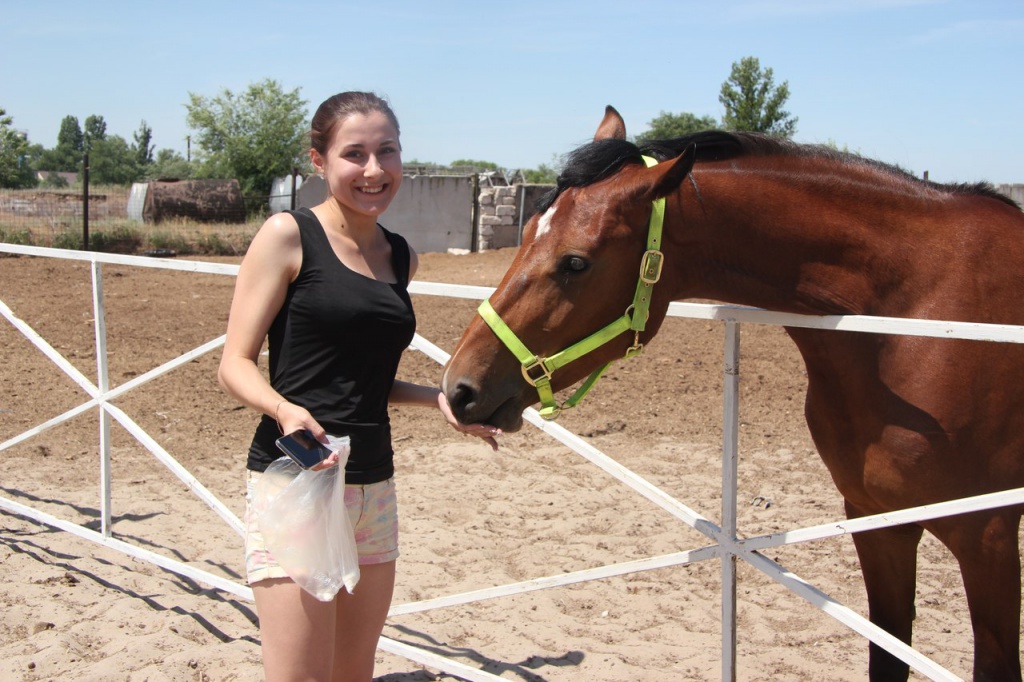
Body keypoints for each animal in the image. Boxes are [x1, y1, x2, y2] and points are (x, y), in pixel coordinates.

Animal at [444, 103, 1024, 675]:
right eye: (524, 236)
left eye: (575, 262)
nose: (458, 388)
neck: (911, 322)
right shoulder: (876, 521)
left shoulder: (988, 537)